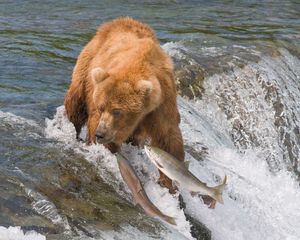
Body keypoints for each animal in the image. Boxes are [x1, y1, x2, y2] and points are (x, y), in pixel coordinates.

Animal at [64, 16, 184, 192]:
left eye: (117, 111)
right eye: (101, 107)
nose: (100, 133)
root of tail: (116, 21)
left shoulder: (162, 102)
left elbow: (167, 137)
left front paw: (169, 181)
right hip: (87, 66)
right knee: (75, 103)